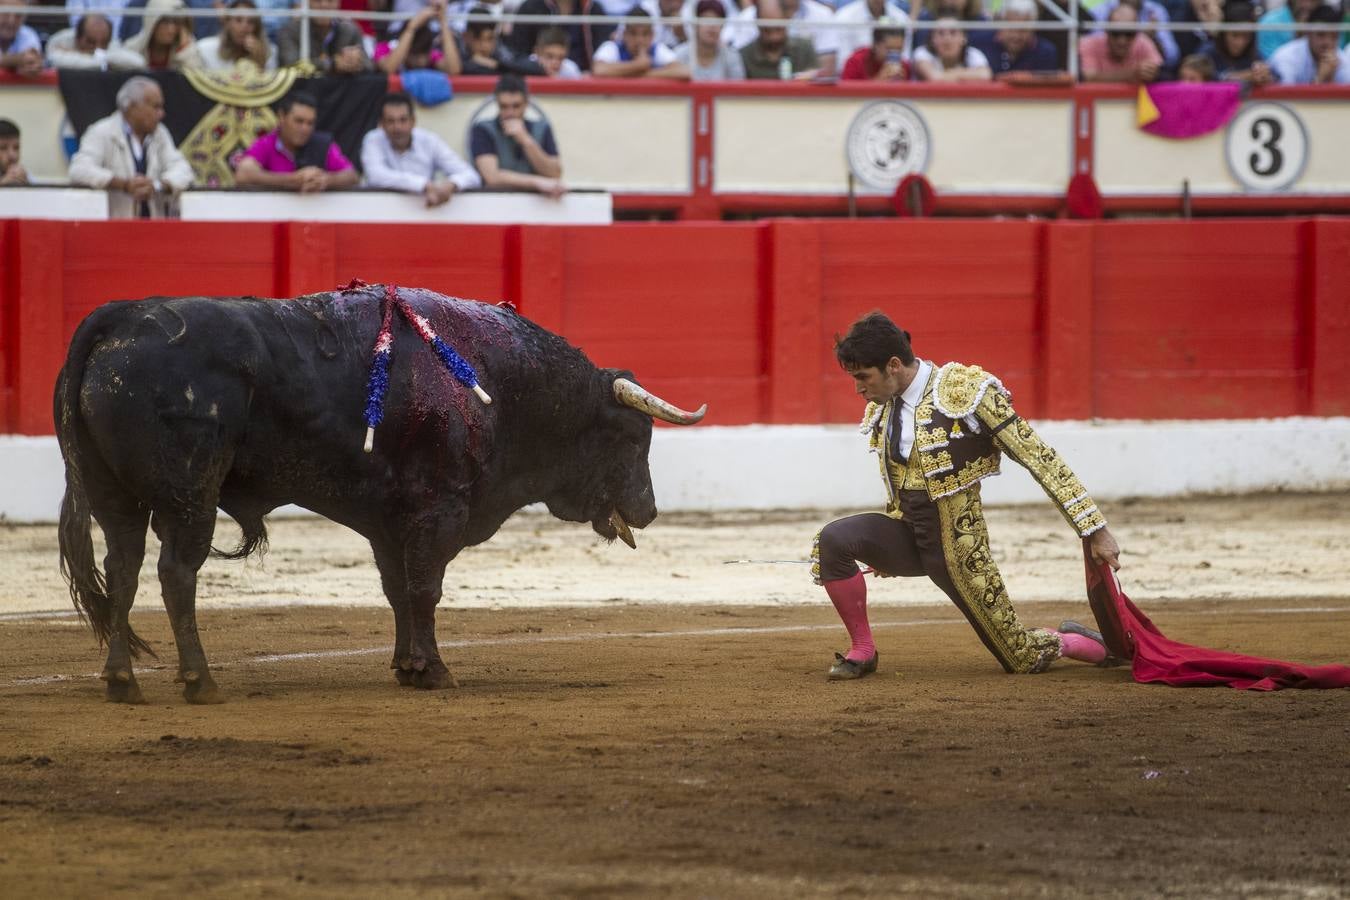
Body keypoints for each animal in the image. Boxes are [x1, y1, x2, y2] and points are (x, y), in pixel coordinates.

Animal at [55, 287, 707, 701]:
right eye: (634, 435)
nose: (649, 510)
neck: (499, 382)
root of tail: (118, 320)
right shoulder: (438, 510)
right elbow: (425, 589)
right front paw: (434, 670)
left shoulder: (389, 522)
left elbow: (397, 591)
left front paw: (406, 667)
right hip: (190, 494)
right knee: (175, 573)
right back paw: (200, 682)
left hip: (114, 496)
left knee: (123, 568)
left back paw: (122, 682)